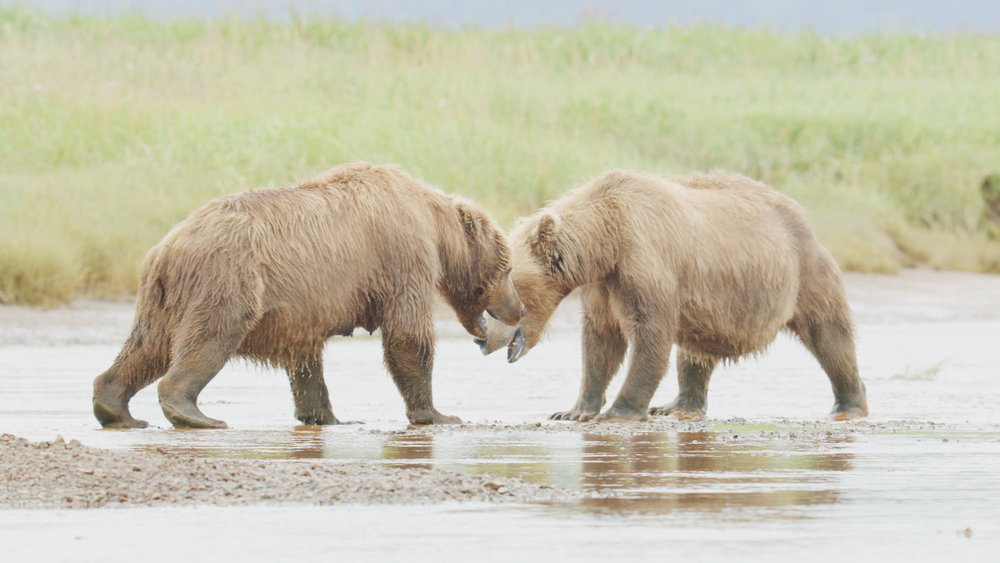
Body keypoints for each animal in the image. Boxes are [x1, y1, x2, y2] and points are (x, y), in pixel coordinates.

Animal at [93, 161, 524, 430]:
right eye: (508, 269)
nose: (519, 309)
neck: (434, 225)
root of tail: (168, 247)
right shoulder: (402, 257)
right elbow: (407, 336)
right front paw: (437, 414)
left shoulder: (303, 307)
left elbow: (305, 361)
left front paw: (328, 416)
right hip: (226, 278)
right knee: (209, 336)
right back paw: (195, 413)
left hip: (160, 297)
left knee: (146, 347)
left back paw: (115, 407)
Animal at [498, 171, 868, 424]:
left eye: (504, 281)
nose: (488, 338)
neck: (606, 240)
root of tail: (801, 212)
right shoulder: (603, 287)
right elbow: (601, 342)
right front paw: (574, 410)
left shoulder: (643, 263)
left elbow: (649, 335)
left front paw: (620, 410)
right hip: (712, 306)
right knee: (694, 354)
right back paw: (678, 406)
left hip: (803, 272)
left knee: (830, 335)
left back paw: (850, 403)